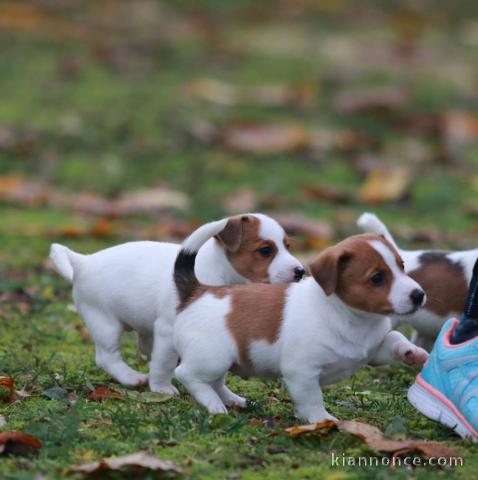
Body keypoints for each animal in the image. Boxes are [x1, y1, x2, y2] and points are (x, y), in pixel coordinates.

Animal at [48, 215, 302, 394]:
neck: (215, 270)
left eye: (288, 246)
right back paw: (131, 377)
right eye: (266, 250)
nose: (300, 271)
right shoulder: (168, 329)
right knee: (107, 357)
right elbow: (165, 362)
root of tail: (83, 262)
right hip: (105, 323)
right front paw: (161, 387)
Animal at [170, 219, 428, 422]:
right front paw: (322, 420)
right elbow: (312, 400)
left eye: (402, 266)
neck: (350, 317)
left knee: (214, 381)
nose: (419, 295)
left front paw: (411, 352)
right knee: (187, 374)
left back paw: (229, 400)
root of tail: (199, 291)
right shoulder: (302, 372)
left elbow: (394, 338)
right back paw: (213, 404)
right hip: (213, 357)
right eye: (377, 278)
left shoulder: (372, 352)